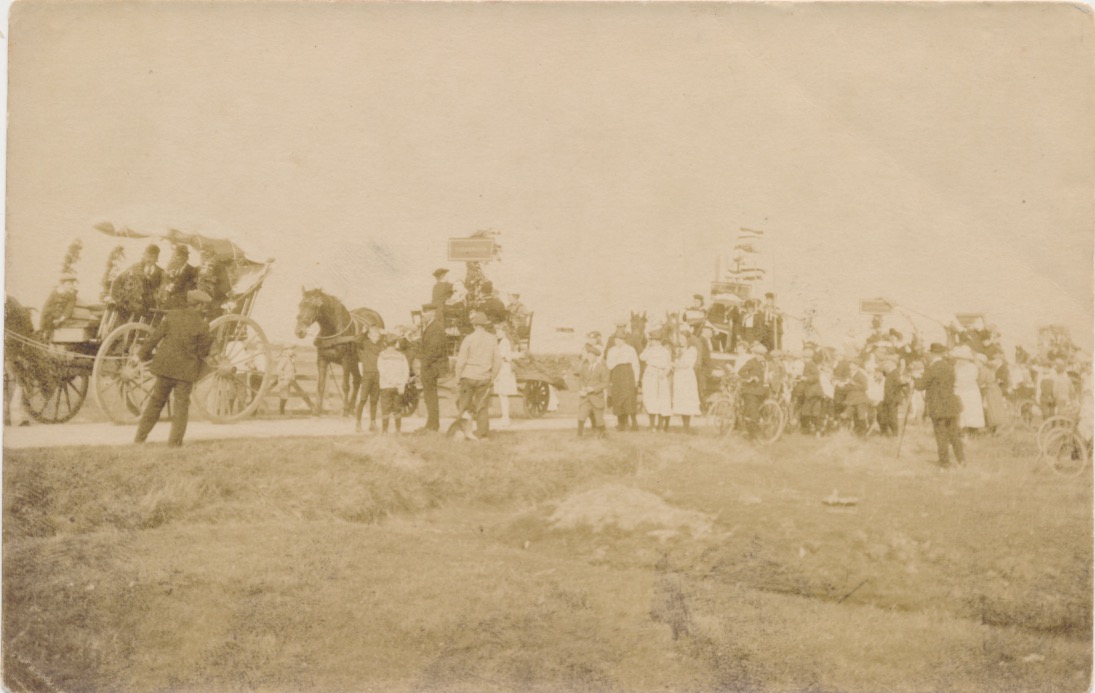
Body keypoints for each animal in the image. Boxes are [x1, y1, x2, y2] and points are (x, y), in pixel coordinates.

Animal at [294, 289, 384, 417]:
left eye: (314, 306)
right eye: (300, 305)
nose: (299, 331)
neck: (333, 330)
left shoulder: (345, 361)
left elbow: (345, 386)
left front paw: (344, 410)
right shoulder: (322, 360)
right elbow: (321, 386)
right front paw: (317, 411)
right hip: (354, 362)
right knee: (357, 380)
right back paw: (352, 408)